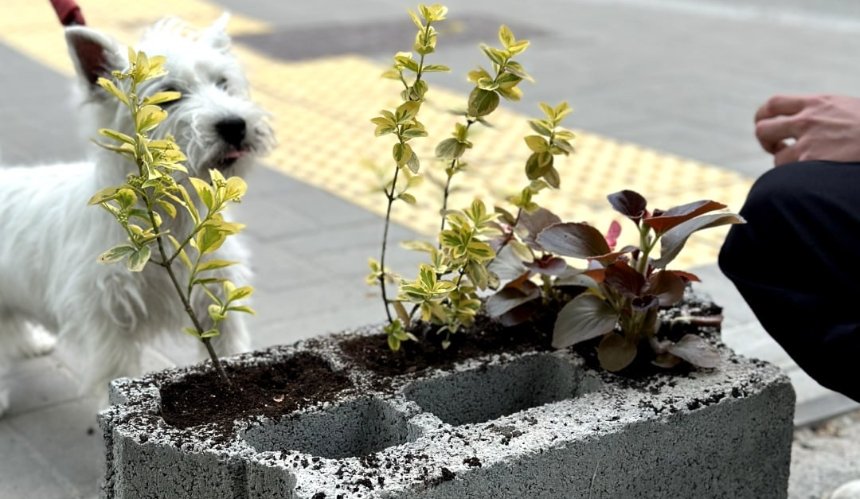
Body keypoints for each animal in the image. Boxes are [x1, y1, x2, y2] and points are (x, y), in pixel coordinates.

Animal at [0, 15, 274, 416]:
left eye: (223, 82)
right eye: (169, 95)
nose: (234, 124)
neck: (168, 221)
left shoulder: (215, 297)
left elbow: (229, 349)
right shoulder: (109, 316)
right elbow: (115, 373)